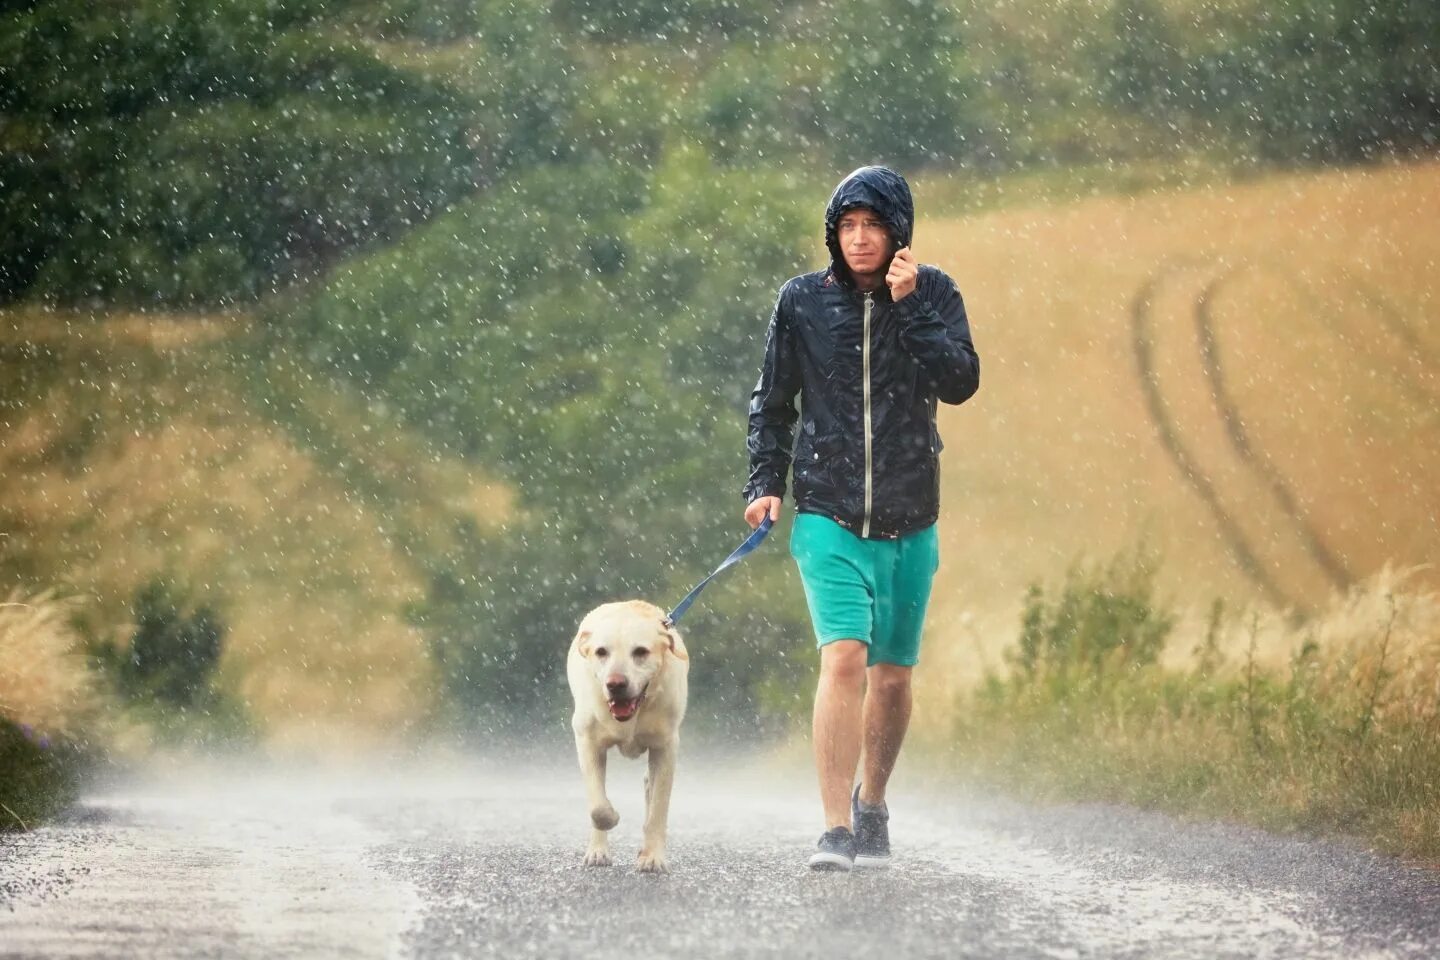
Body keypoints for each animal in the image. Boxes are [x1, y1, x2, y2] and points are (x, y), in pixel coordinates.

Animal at [564, 604, 688, 875]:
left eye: (640, 651)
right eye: (601, 652)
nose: (615, 684)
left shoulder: (666, 746)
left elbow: (658, 808)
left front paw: (653, 858)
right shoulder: (587, 741)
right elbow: (598, 807)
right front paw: (610, 822)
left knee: (649, 788)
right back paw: (598, 851)